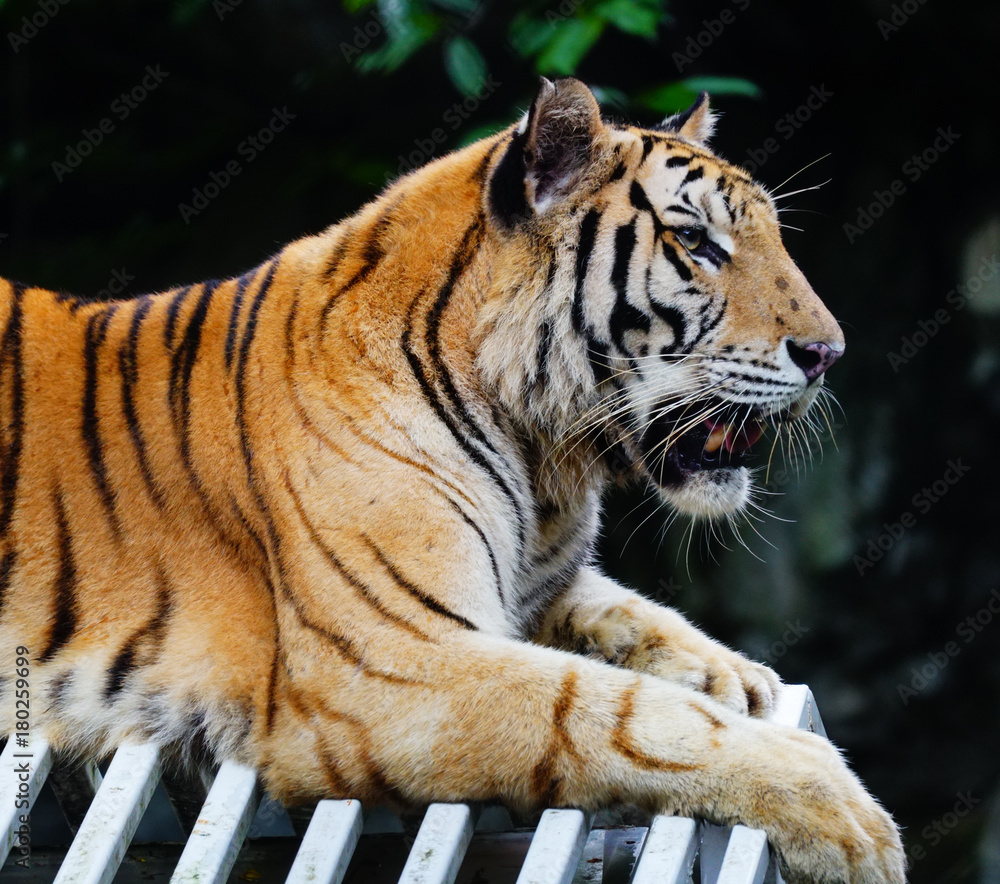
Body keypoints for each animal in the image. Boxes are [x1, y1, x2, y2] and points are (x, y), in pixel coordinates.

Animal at [0, 78, 904, 882]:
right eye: (701, 245)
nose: (829, 354)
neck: (542, 458)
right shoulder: (388, 665)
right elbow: (610, 709)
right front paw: (842, 811)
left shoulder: (528, 592)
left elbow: (631, 615)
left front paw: (737, 677)